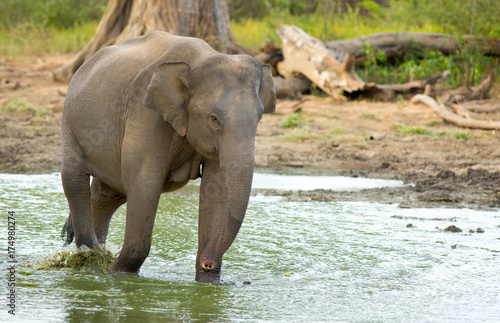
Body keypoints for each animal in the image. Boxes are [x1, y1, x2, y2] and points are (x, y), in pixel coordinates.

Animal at [61, 30, 278, 284]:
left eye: (260, 118)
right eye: (214, 119)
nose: (208, 262)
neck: (199, 61)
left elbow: (216, 191)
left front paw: (208, 284)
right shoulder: (146, 113)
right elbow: (145, 183)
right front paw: (120, 276)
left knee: (107, 193)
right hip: (70, 121)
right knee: (75, 181)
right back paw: (92, 257)